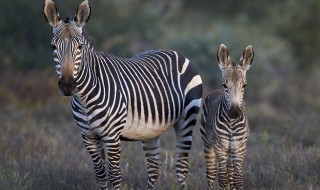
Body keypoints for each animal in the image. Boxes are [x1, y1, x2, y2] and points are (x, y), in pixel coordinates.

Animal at [43, 0, 202, 189]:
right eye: (53, 46)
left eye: (80, 47)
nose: (68, 85)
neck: (84, 98)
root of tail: (176, 52)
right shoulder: (88, 136)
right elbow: (100, 174)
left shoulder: (112, 136)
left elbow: (115, 175)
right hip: (151, 131)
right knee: (154, 166)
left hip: (187, 120)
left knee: (181, 167)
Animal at [200, 43, 255, 189]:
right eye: (225, 85)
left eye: (244, 85)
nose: (235, 113)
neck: (232, 123)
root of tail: (215, 91)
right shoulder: (220, 146)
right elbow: (223, 179)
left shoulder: (240, 147)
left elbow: (238, 179)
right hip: (208, 143)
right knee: (211, 173)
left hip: (231, 150)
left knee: (230, 173)